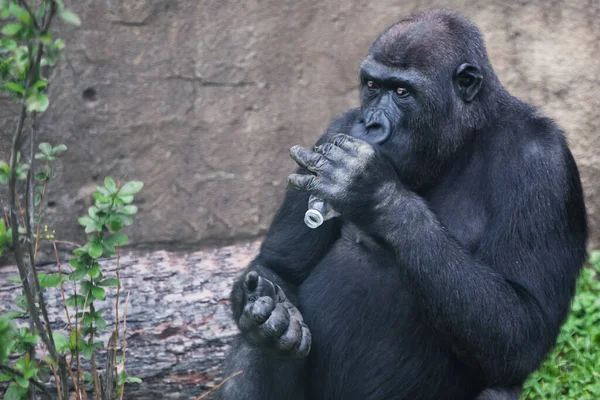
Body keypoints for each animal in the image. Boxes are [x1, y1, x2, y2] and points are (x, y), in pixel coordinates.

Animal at [217, 8, 584, 400]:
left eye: (402, 91)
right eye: (371, 85)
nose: (370, 125)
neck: (467, 134)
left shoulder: (543, 163)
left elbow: (524, 325)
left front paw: (373, 191)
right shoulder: (334, 132)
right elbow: (279, 268)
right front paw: (274, 316)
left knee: (498, 386)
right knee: (254, 345)